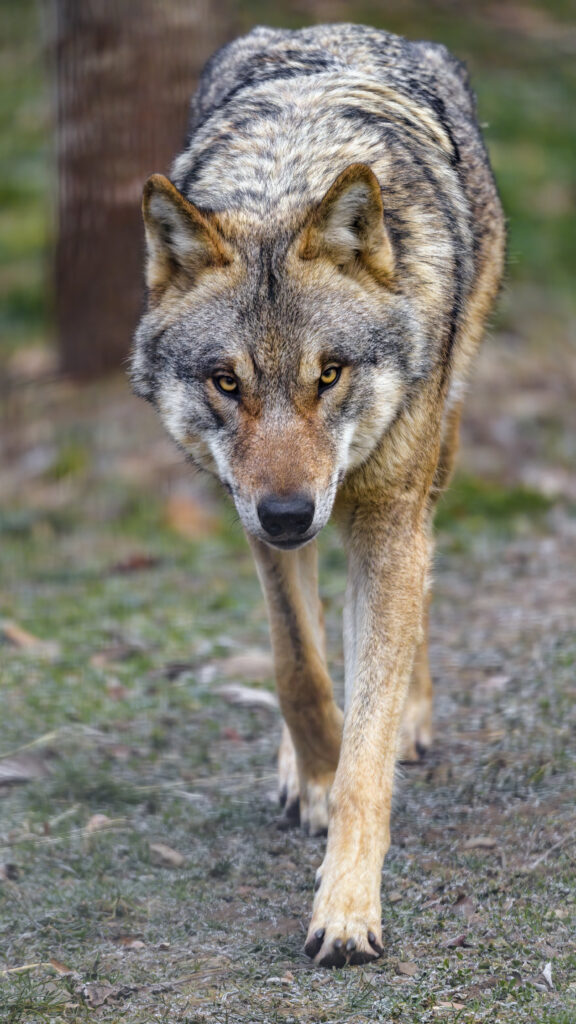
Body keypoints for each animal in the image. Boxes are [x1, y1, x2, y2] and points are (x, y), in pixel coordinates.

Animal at [130, 23, 505, 967]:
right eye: (227, 383)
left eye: (328, 374)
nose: (292, 513)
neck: (289, 178)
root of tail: (335, 29)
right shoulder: (248, 513)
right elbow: (297, 665)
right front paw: (318, 772)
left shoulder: (386, 516)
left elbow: (370, 750)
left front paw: (346, 907)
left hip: (435, 453)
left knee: (420, 594)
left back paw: (410, 713)